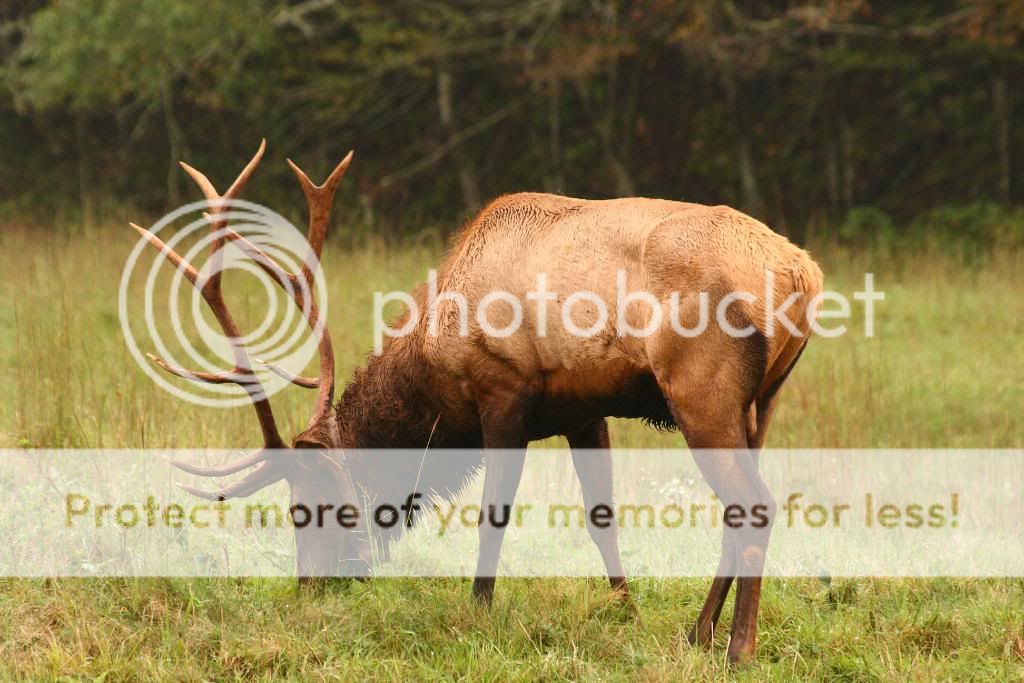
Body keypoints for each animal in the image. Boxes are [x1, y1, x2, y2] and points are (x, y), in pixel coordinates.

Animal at [130, 140, 823, 664]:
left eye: (314, 505)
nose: (311, 587)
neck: (435, 365)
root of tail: (804, 275)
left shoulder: (502, 389)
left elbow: (494, 511)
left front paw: (479, 608)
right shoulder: (583, 409)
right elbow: (601, 515)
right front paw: (625, 608)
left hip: (701, 390)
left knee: (754, 504)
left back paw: (737, 648)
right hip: (762, 403)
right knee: (740, 507)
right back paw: (699, 632)